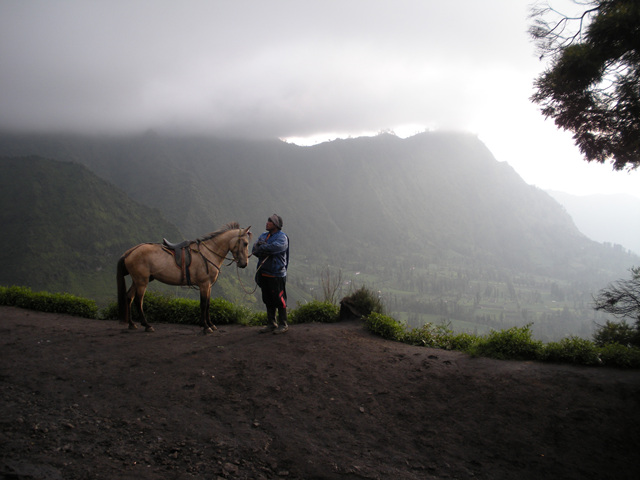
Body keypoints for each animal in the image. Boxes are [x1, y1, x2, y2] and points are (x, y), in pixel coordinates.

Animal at [116, 221, 251, 334]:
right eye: (245, 243)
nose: (244, 264)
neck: (208, 253)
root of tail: (129, 252)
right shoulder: (203, 284)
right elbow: (203, 304)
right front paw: (205, 326)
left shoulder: (209, 286)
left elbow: (208, 304)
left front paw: (210, 324)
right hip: (142, 281)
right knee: (138, 301)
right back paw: (147, 325)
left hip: (136, 280)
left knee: (129, 297)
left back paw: (132, 324)